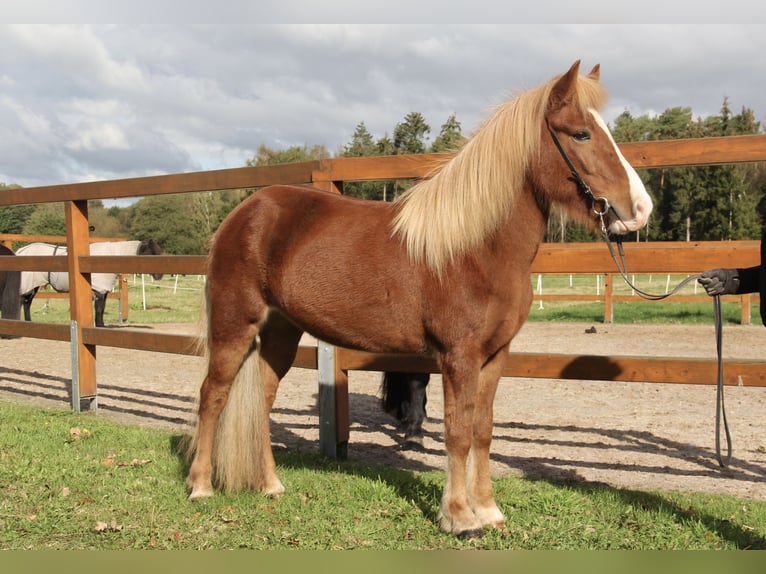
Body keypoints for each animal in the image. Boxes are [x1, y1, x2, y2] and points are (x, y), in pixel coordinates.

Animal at [16, 240, 164, 328]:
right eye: (150, 253)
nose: (159, 275)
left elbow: (102, 309)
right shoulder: (100, 291)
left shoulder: (103, 291)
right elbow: (99, 309)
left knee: (26, 303)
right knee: (23, 301)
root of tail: (20, 252)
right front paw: (99, 325)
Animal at [186, 60, 656, 536]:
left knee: (261, 399)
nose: (639, 210)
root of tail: (245, 212)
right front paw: (460, 516)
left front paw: (489, 510)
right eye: (581, 134)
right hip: (234, 325)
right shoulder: (458, 356)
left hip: (281, 331)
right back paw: (200, 486)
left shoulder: (496, 355)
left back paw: (271, 485)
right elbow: (457, 432)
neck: (476, 248)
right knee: (213, 396)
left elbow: (482, 430)